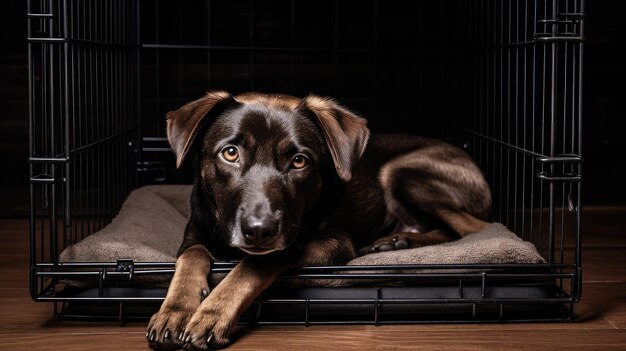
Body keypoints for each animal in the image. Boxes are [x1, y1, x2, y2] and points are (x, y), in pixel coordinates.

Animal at [147, 91, 492, 350]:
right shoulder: (195, 233)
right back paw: (394, 241)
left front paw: (213, 311)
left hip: (403, 172)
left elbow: (255, 264)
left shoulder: (331, 244)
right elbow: (191, 256)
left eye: (299, 161)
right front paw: (175, 310)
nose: (259, 232)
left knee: (473, 228)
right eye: (230, 153)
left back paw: (398, 242)